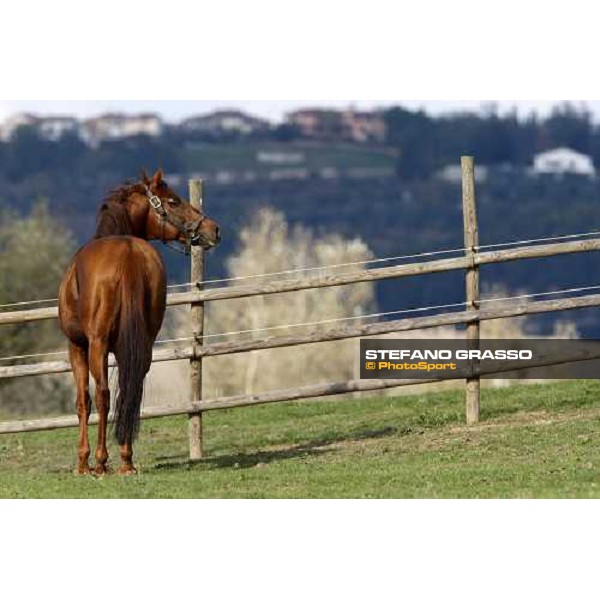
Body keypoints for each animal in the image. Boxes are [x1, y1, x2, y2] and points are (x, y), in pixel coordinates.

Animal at [58, 169, 220, 474]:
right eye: (174, 200)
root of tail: (128, 253)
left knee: (104, 394)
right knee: (130, 391)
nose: (213, 229)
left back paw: (101, 461)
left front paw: (82, 462)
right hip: (143, 344)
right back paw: (126, 460)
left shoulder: (77, 346)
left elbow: (84, 400)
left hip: (97, 345)